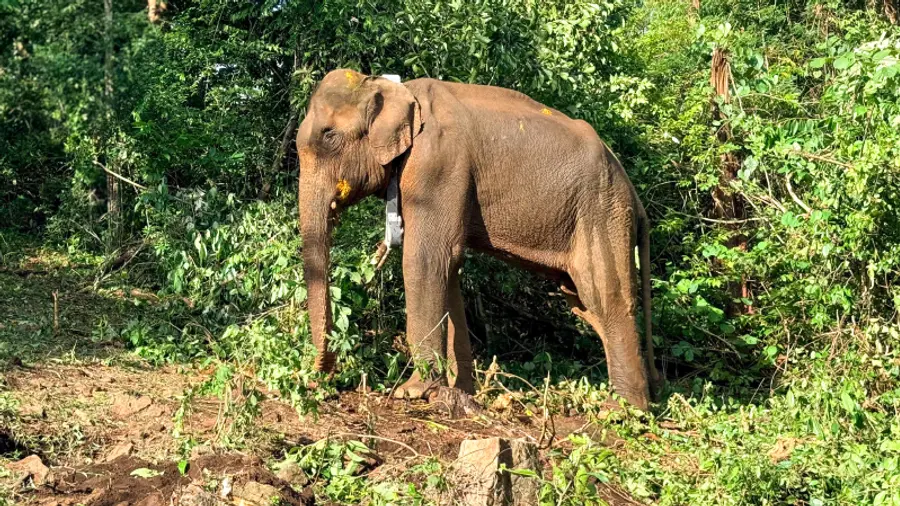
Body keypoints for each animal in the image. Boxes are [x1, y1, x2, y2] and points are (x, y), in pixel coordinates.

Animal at [296, 69, 659, 410]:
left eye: (329, 136)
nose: (320, 378)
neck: (393, 88)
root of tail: (635, 196)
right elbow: (448, 268)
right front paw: (459, 392)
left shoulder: (437, 164)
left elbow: (425, 260)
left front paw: (411, 392)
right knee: (584, 305)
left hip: (602, 212)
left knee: (606, 295)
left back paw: (623, 409)